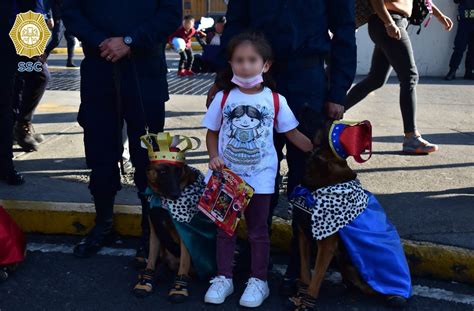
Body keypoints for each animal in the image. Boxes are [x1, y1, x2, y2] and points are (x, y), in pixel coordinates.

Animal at [132, 132, 216, 304]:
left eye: (178, 171)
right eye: (163, 172)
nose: (176, 195)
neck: (162, 200)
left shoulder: (185, 236)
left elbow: (184, 263)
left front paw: (179, 286)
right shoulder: (155, 231)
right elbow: (151, 259)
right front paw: (146, 279)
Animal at [288, 119, 412, 310]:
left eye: (325, 124)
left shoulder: (326, 244)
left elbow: (316, 278)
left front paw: (308, 300)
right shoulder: (303, 234)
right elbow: (304, 271)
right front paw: (301, 292)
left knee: (370, 288)